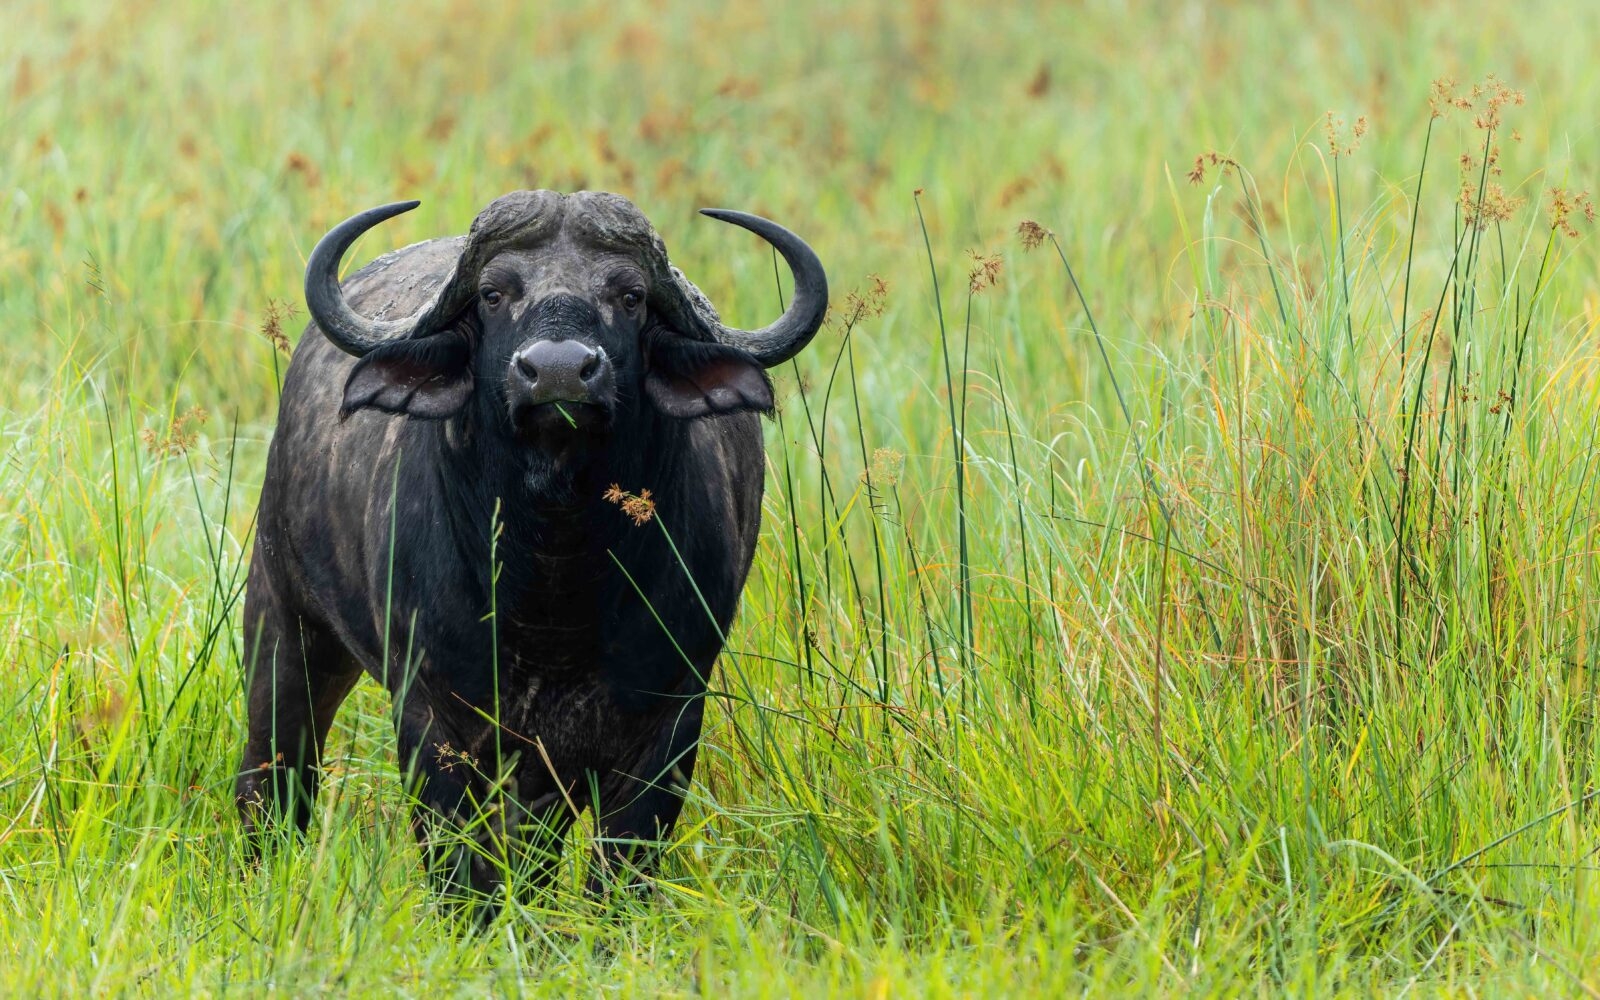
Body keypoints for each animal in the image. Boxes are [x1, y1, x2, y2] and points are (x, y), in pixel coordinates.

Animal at [236, 190, 827, 905]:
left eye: (630, 295)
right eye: (494, 294)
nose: (559, 372)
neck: (554, 582)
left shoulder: (668, 721)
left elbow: (619, 869)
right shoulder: (432, 719)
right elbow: (463, 869)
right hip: (283, 623)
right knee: (275, 773)